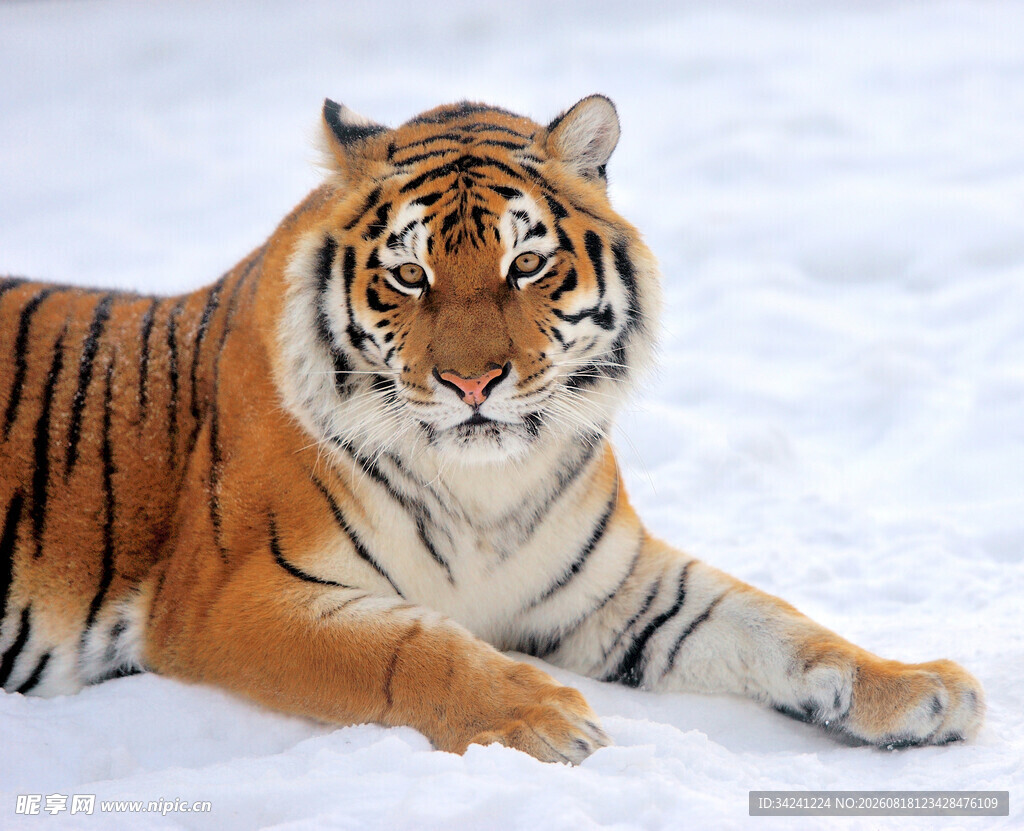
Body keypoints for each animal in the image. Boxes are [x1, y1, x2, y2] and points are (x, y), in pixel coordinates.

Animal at [0, 96, 984, 763]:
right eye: (409, 274)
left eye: (526, 264)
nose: (472, 381)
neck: (485, 486)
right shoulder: (233, 594)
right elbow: (408, 649)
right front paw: (541, 715)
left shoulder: (614, 588)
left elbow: (768, 620)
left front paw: (920, 688)